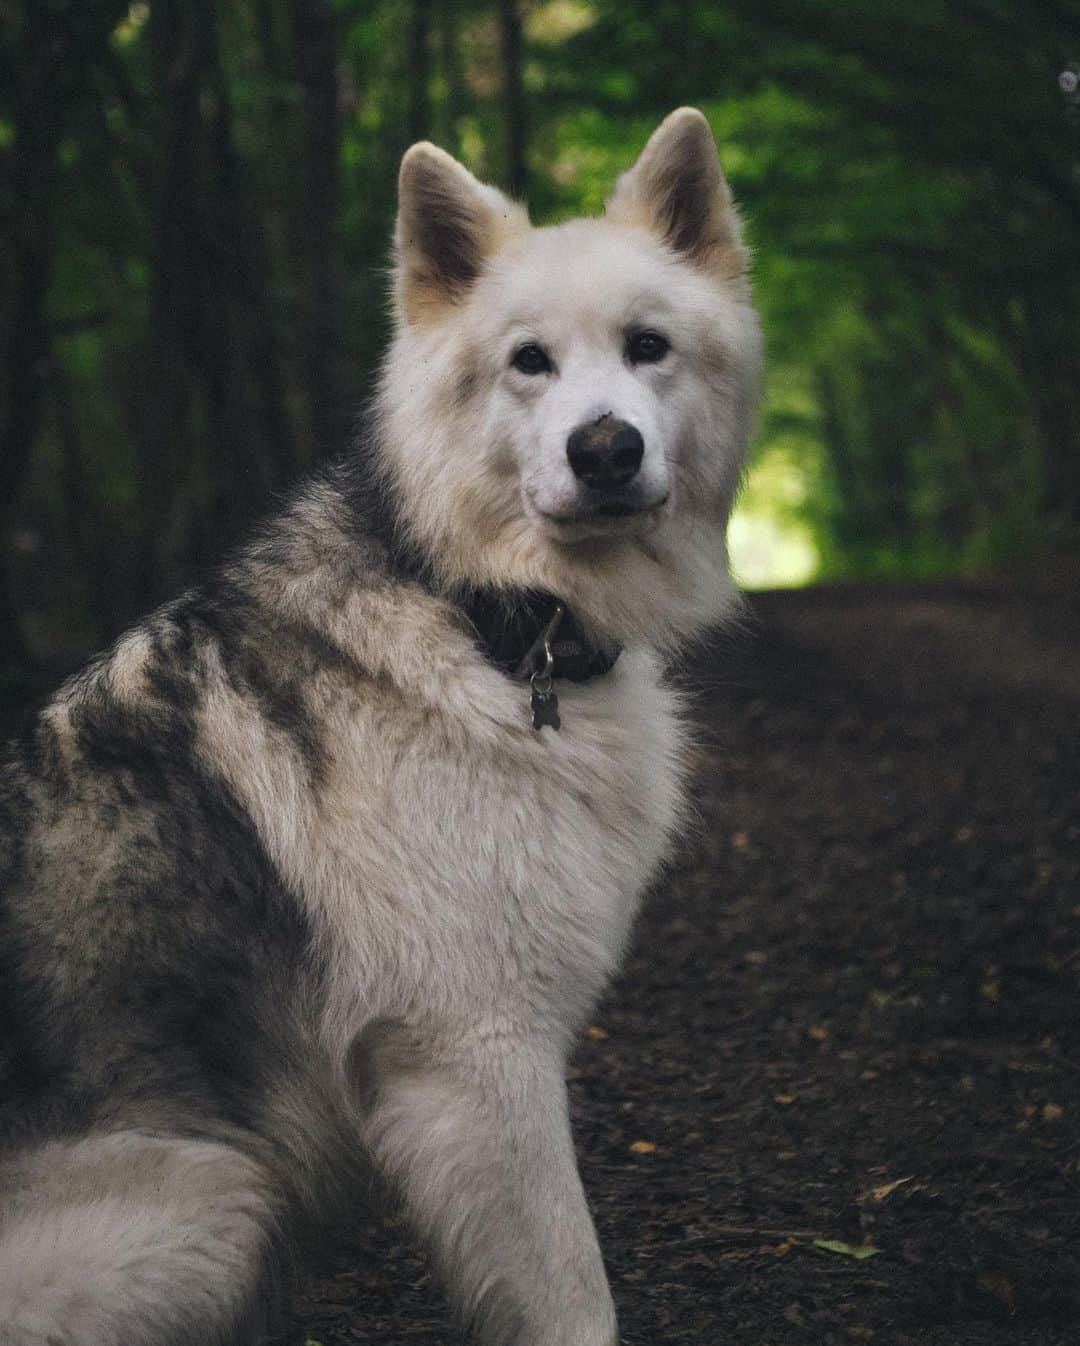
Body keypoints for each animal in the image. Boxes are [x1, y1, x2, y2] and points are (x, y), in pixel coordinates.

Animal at [0, 107, 759, 1346]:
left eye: (648, 346)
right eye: (529, 361)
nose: (605, 449)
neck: (484, 616)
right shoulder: (478, 1057)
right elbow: (572, 1294)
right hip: (219, 1201)